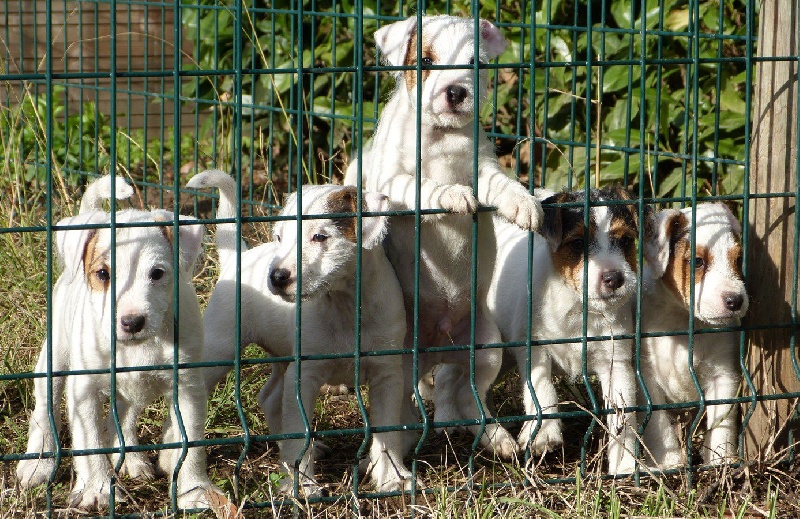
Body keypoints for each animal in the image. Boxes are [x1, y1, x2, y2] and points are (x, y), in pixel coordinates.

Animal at [188, 171, 412, 500]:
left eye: (320, 237)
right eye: (280, 237)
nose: (276, 277)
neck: (343, 305)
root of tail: (239, 258)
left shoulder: (388, 376)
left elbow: (387, 432)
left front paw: (392, 478)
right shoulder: (304, 376)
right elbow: (299, 429)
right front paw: (302, 485)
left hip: (283, 359)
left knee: (270, 398)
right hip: (221, 348)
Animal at [344, 13, 544, 460]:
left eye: (476, 63)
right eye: (426, 61)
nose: (456, 92)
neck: (441, 136)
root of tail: (438, 348)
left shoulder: (484, 169)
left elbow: (501, 186)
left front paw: (522, 203)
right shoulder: (392, 181)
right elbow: (423, 186)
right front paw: (452, 195)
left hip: (486, 349)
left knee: (467, 396)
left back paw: (496, 437)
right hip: (403, 359)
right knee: (407, 398)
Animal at [488, 187, 644, 476]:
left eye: (626, 240)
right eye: (578, 243)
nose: (614, 278)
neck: (578, 308)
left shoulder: (616, 362)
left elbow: (623, 413)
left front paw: (625, 463)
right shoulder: (534, 349)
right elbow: (541, 389)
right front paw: (544, 434)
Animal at [640, 203, 748, 468]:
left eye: (738, 259)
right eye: (697, 261)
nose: (736, 300)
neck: (683, 319)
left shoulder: (724, 375)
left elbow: (722, 423)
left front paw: (721, 461)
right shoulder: (646, 378)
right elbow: (658, 425)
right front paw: (669, 463)